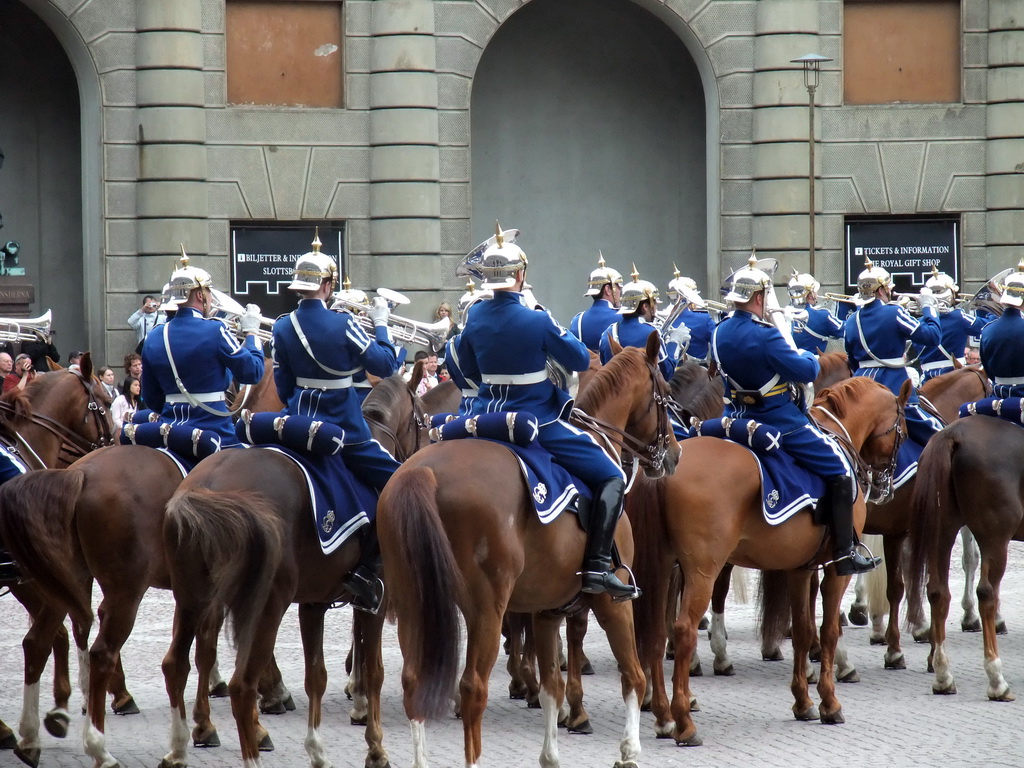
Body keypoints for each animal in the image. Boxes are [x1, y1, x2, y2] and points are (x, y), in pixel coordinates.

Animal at [157, 376, 442, 768]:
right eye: (424, 420)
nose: (428, 453)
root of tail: (207, 487)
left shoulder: (314, 603)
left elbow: (316, 676)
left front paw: (318, 750)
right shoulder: (376, 601)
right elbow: (375, 672)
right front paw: (375, 748)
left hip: (192, 598)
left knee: (177, 664)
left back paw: (179, 746)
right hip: (266, 605)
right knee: (241, 684)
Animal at [376, 339, 679, 768]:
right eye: (666, 395)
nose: (674, 455)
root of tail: (424, 471)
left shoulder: (546, 610)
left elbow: (552, 684)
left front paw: (551, 752)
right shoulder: (612, 601)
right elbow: (632, 675)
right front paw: (629, 751)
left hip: (412, 601)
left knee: (414, 680)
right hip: (486, 608)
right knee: (473, 687)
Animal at [626, 376, 909, 749]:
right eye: (903, 429)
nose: (884, 487)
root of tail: (667, 467)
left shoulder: (799, 569)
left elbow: (803, 630)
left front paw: (803, 702)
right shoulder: (836, 570)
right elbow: (829, 631)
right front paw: (830, 703)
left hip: (660, 568)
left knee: (657, 633)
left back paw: (663, 717)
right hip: (701, 571)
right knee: (683, 630)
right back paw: (684, 722)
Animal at [909, 415, 1024, 704]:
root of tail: (952, 434)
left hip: (942, 530)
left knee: (937, 592)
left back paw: (943, 676)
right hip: (995, 538)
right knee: (987, 593)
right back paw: (996, 680)